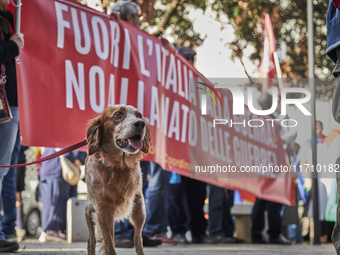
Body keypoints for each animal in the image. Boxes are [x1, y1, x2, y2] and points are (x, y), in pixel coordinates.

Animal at [84, 104, 150, 254]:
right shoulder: (103, 209)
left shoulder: (138, 205)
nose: (140, 124)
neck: (119, 167)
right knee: (91, 240)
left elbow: (138, 240)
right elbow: (109, 245)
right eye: (118, 115)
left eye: (139, 115)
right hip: (90, 212)